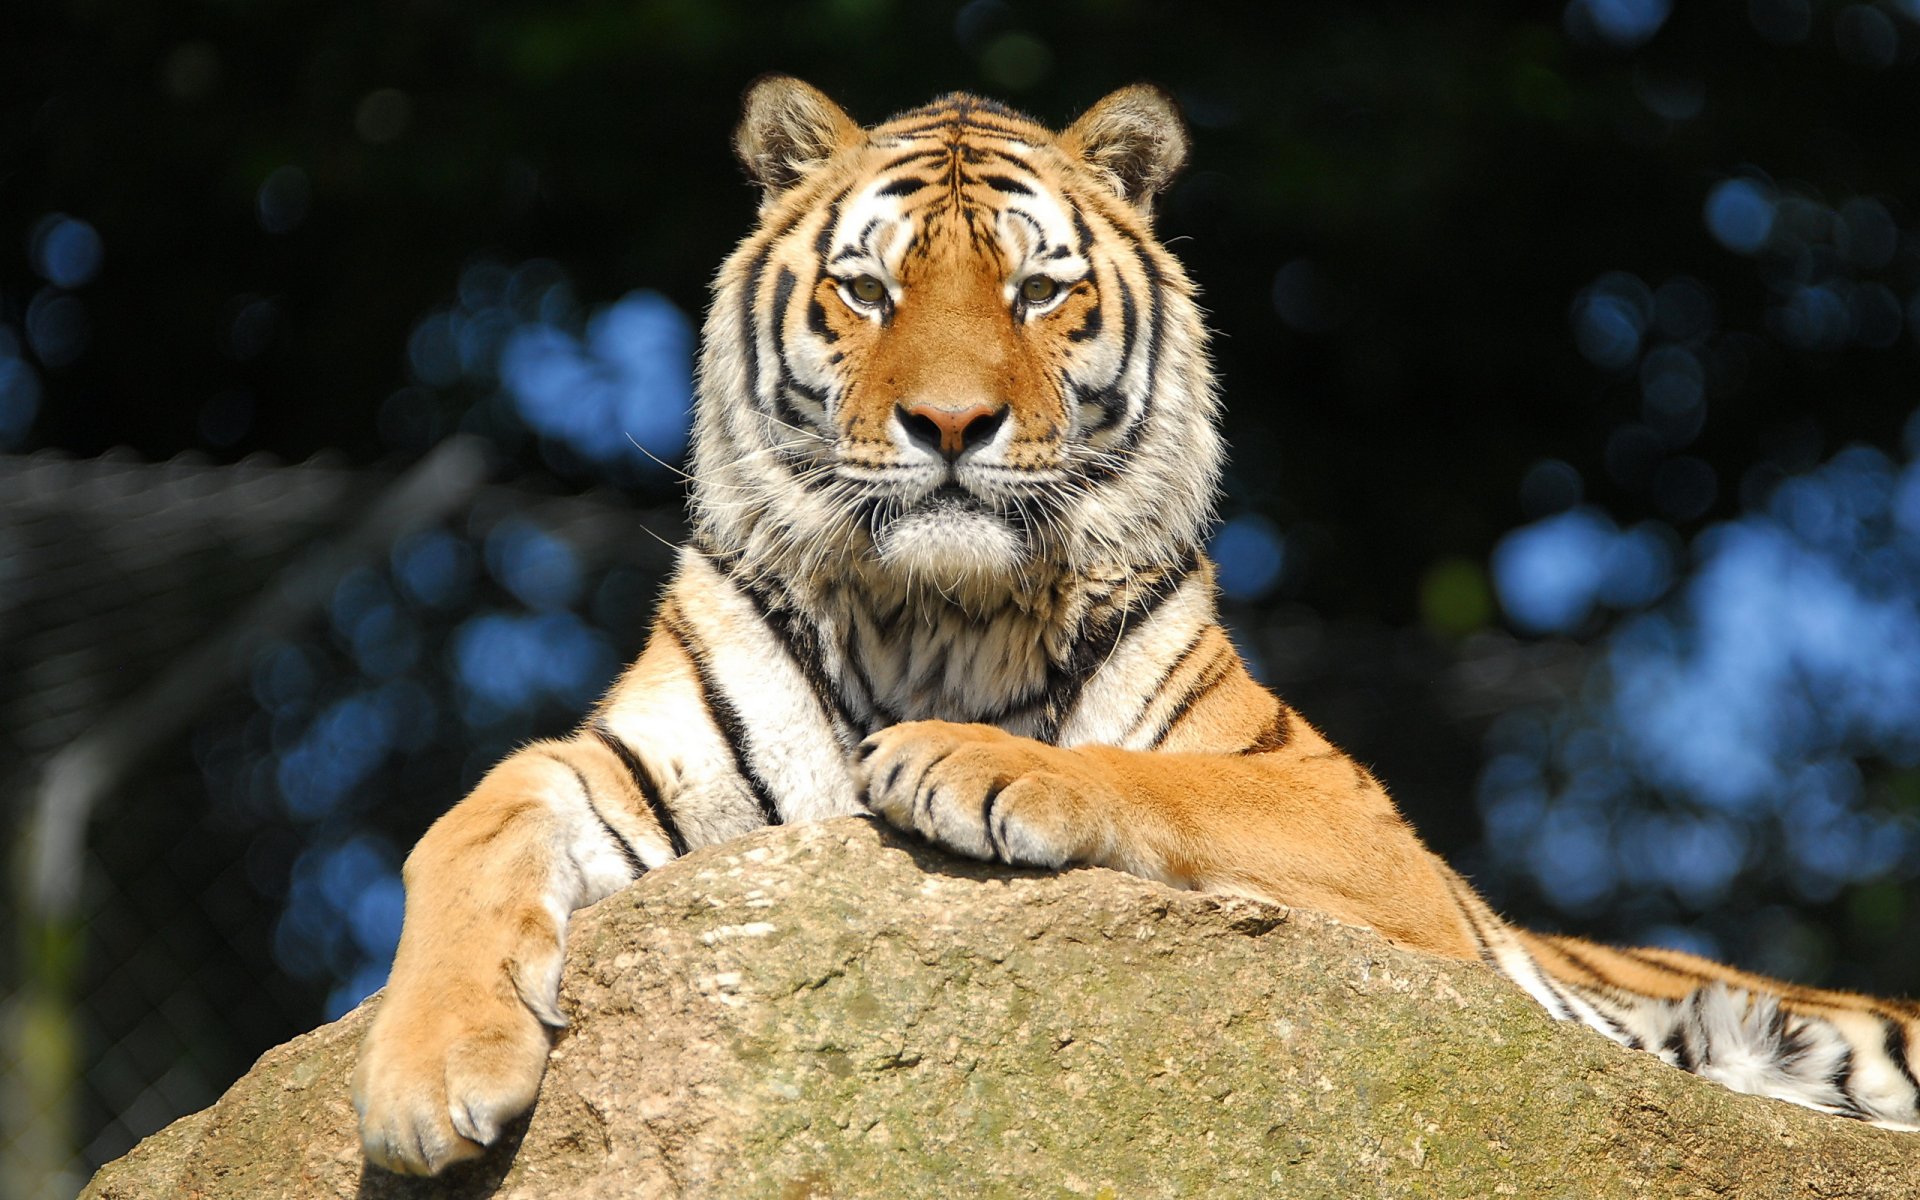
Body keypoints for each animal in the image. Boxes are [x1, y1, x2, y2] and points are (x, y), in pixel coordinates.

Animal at [350, 76, 1920, 1175]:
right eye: (867, 288)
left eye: (1040, 289)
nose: (951, 426)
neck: (929, 613)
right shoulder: (636, 769)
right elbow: (469, 818)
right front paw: (427, 1082)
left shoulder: (1359, 825)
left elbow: (1153, 776)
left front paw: (970, 761)